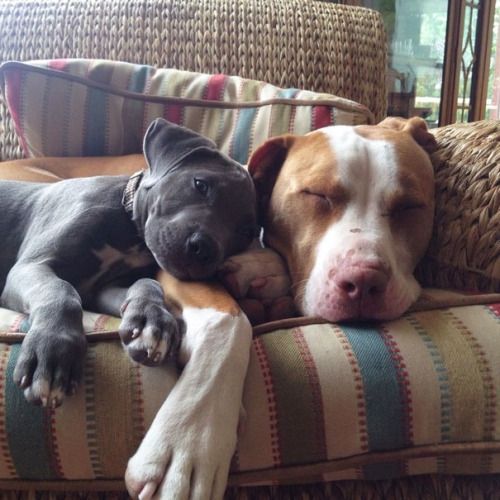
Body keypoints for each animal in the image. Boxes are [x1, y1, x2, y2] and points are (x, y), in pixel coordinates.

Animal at [0, 119, 258, 408]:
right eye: (201, 184)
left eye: (245, 232)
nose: (205, 249)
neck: (131, 234)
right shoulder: (32, 266)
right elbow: (60, 292)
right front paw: (53, 351)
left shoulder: (99, 291)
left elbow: (146, 283)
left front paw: (151, 321)